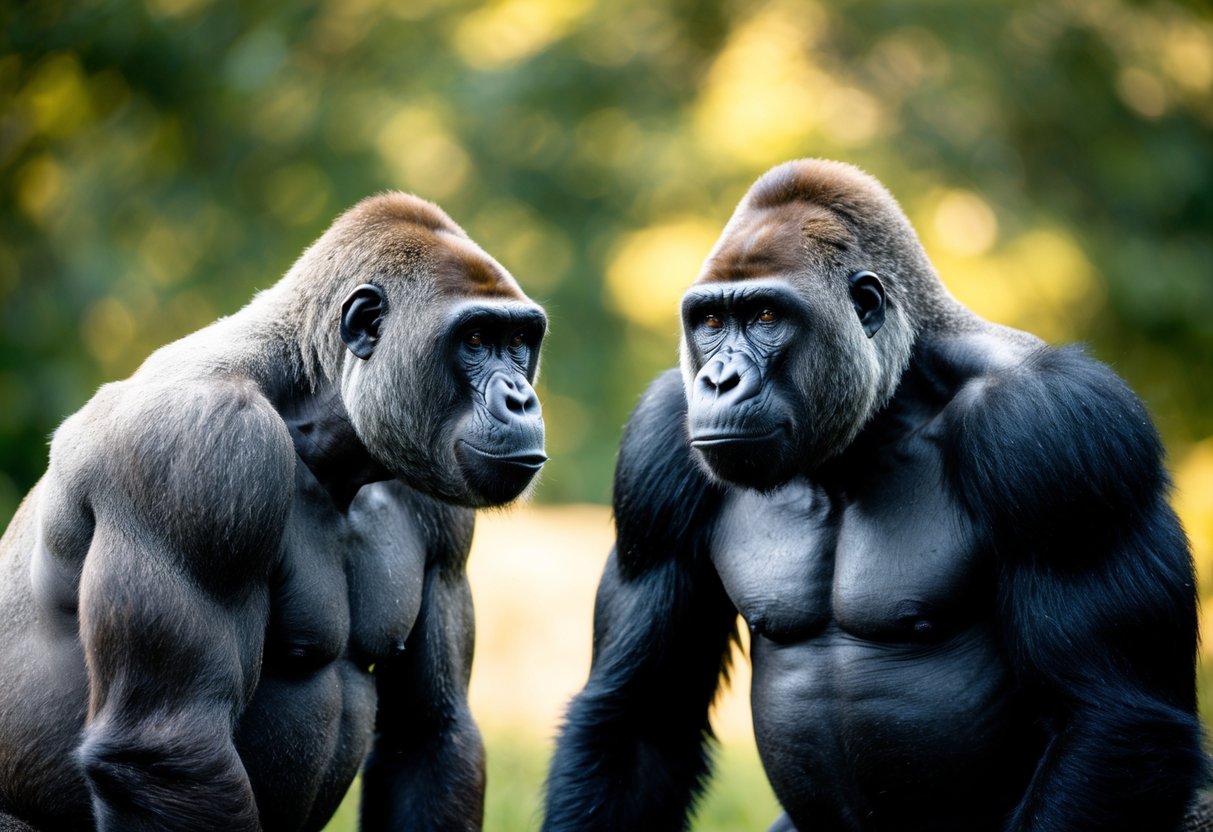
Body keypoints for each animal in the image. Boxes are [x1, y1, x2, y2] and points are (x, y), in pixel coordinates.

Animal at [0, 192, 547, 831]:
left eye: (520, 342)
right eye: (476, 340)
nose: (522, 399)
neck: (313, 400)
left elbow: (428, 732)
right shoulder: (198, 449)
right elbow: (167, 747)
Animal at [542, 159, 1206, 831]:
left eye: (764, 317)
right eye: (710, 322)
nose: (719, 379)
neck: (879, 416)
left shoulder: (1061, 425)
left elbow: (1109, 717)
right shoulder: (659, 441)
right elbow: (641, 715)